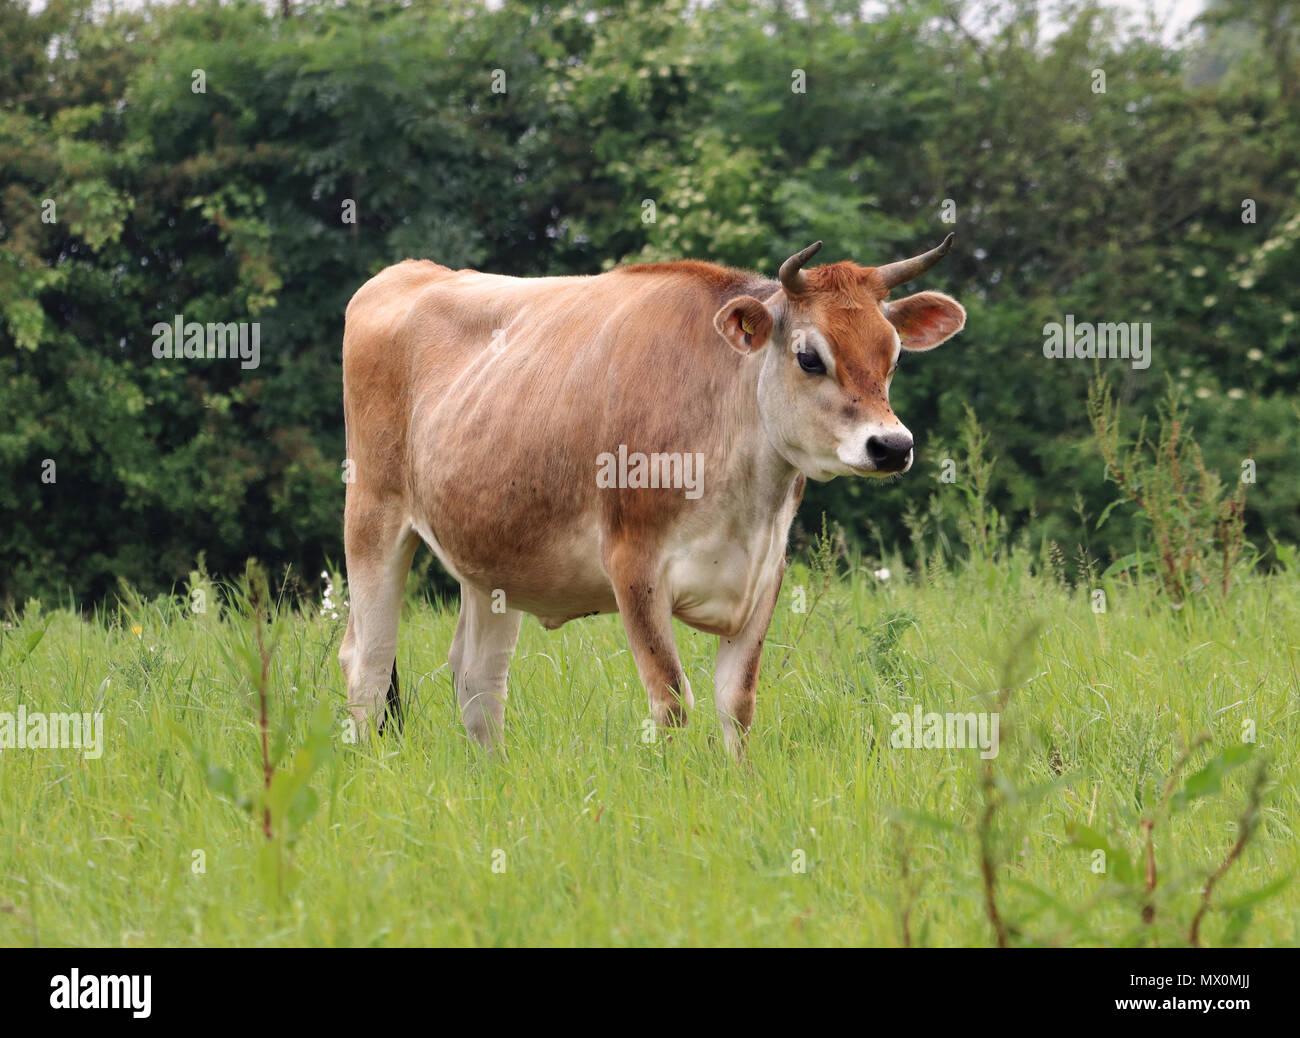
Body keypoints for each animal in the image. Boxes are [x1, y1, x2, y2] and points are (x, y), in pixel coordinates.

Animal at [338, 235, 965, 756]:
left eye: (893, 356)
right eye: (810, 357)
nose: (892, 445)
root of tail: (410, 271)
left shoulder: (766, 573)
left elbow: (736, 703)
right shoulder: (633, 566)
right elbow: (671, 700)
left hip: (490, 556)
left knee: (478, 680)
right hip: (371, 515)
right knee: (368, 660)